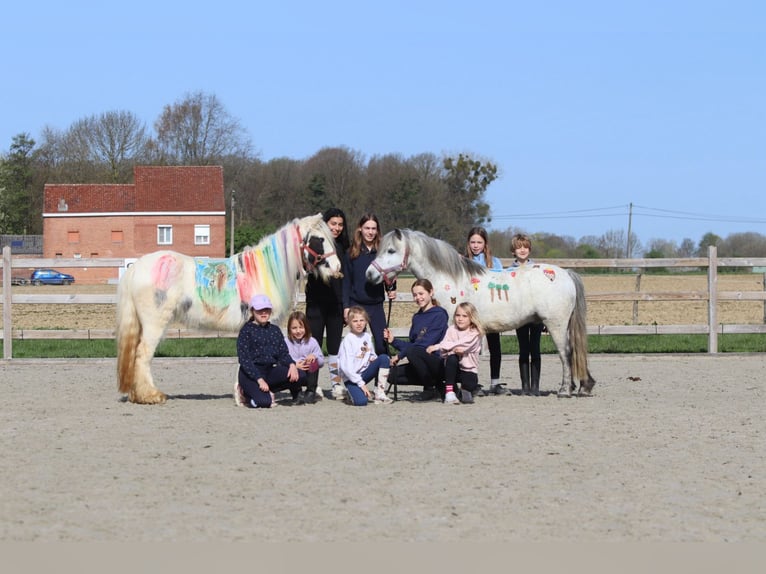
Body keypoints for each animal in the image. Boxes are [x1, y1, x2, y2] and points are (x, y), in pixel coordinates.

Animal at [116, 213, 342, 404]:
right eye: (319, 239)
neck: (264, 271)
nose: (338, 267)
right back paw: (150, 395)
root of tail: (136, 268)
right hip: (154, 324)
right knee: (142, 355)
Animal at [366, 229, 595, 397]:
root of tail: (565, 273)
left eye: (391, 251)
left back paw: (565, 390)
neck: (449, 279)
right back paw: (582, 386)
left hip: (556, 324)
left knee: (566, 353)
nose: (369, 274)